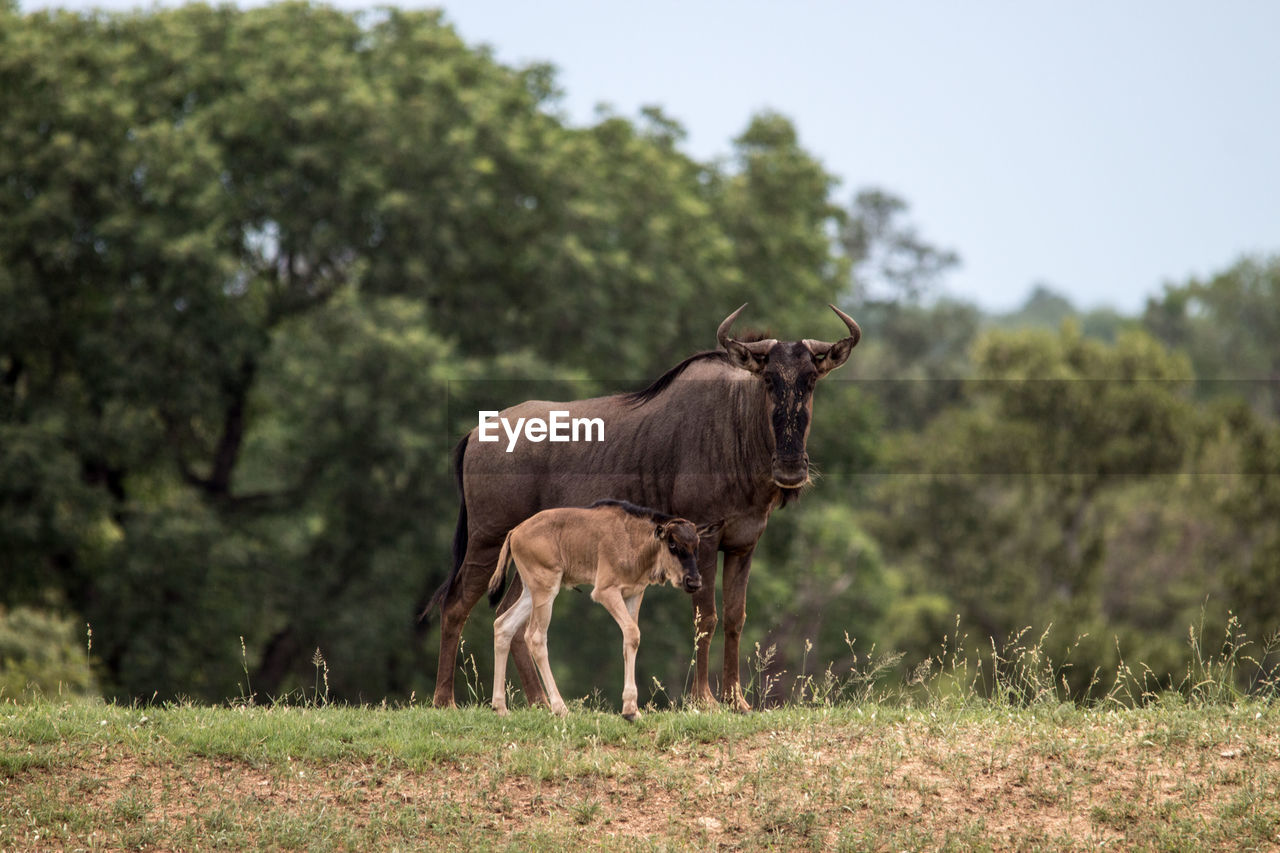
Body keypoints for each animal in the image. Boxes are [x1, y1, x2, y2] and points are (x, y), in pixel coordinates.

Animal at [483, 499, 721, 717]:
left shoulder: (634, 593)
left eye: (696, 545)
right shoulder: (606, 591)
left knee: (503, 625)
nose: (694, 581)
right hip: (545, 589)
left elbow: (630, 638)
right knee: (535, 637)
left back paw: (500, 707)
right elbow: (632, 632)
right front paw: (630, 710)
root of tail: (514, 533)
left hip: (531, 592)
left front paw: (631, 709)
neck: (634, 540)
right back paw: (560, 708)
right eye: (672, 544)